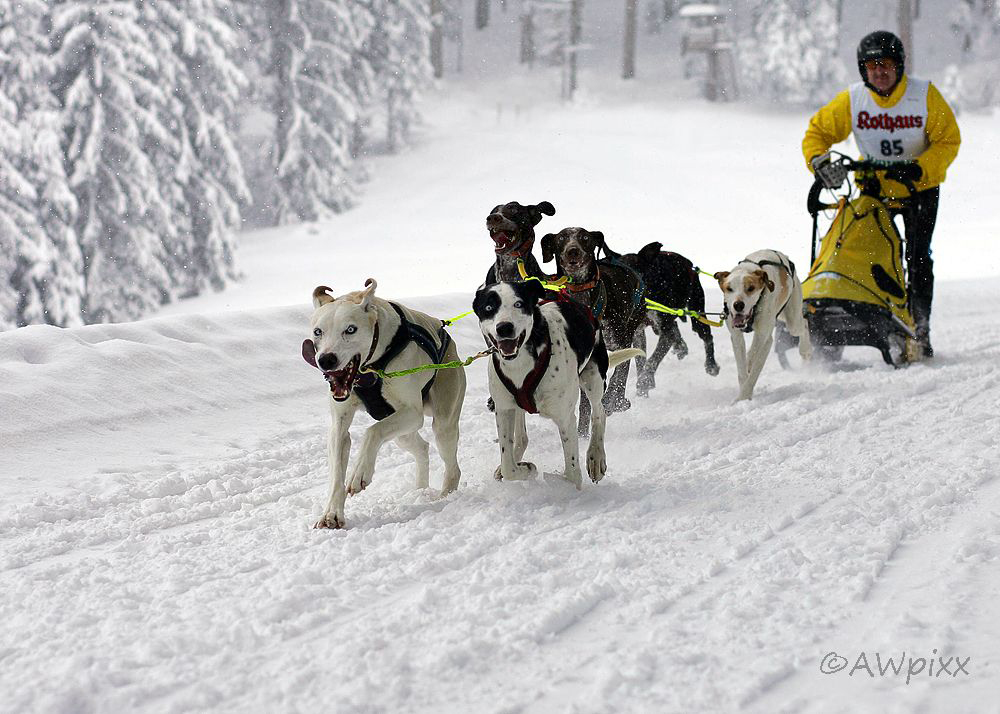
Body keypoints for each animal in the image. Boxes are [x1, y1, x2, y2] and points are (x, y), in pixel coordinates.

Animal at [302, 278, 466, 528]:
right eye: (318, 332)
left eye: (350, 329)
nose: (326, 360)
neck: (369, 369)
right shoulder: (339, 425)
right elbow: (337, 473)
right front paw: (331, 514)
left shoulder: (412, 413)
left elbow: (372, 432)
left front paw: (359, 473)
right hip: (402, 434)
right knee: (422, 448)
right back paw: (420, 490)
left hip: (442, 424)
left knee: (452, 467)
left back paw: (444, 496)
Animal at [474, 278, 644, 490]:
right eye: (489, 308)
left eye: (518, 304)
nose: (504, 327)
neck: (522, 362)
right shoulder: (504, 409)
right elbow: (508, 467)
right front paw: (525, 468)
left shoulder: (565, 418)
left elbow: (572, 474)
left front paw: (563, 485)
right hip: (517, 405)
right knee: (522, 437)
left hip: (594, 377)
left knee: (599, 413)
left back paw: (596, 458)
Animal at [544, 228, 644, 418]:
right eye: (561, 238)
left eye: (585, 237)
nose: (572, 251)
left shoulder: (622, 342)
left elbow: (619, 376)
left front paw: (612, 400)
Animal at [616, 241, 720, 394]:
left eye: (637, 273)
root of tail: (689, 264)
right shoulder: (638, 332)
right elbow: (640, 358)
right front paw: (643, 382)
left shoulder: (665, 332)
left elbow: (652, 360)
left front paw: (645, 380)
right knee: (675, 328)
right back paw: (680, 346)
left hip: (697, 314)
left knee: (707, 337)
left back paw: (711, 365)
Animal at [712, 249, 812, 400]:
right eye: (729, 288)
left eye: (751, 288)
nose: (738, 305)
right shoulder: (736, 337)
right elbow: (742, 370)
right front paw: (742, 395)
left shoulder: (764, 337)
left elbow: (754, 363)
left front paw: (743, 397)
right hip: (781, 316)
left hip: (792, 319)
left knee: (804, 323)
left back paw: (805, 350)